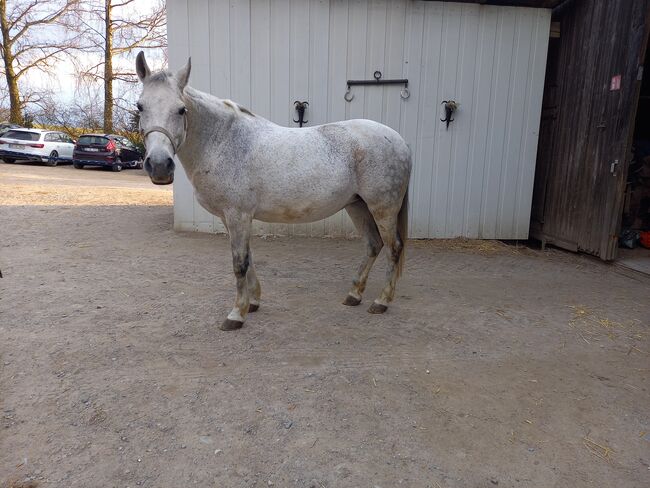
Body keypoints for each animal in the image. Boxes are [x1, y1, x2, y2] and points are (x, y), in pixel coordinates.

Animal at [136, 51, 410, 330]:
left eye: (181, 110)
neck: (224, 143)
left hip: (383, 208)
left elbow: (239, 263)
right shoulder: (231, 218)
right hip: (357, 205)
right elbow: (248, 258)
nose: (159, 165)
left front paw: (236, 314)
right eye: (140, 107)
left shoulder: (238, 215)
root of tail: (398, 139)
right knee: (373, 244)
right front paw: (253, 302)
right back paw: (354, 295)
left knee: (394, 247)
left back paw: (381, 301)